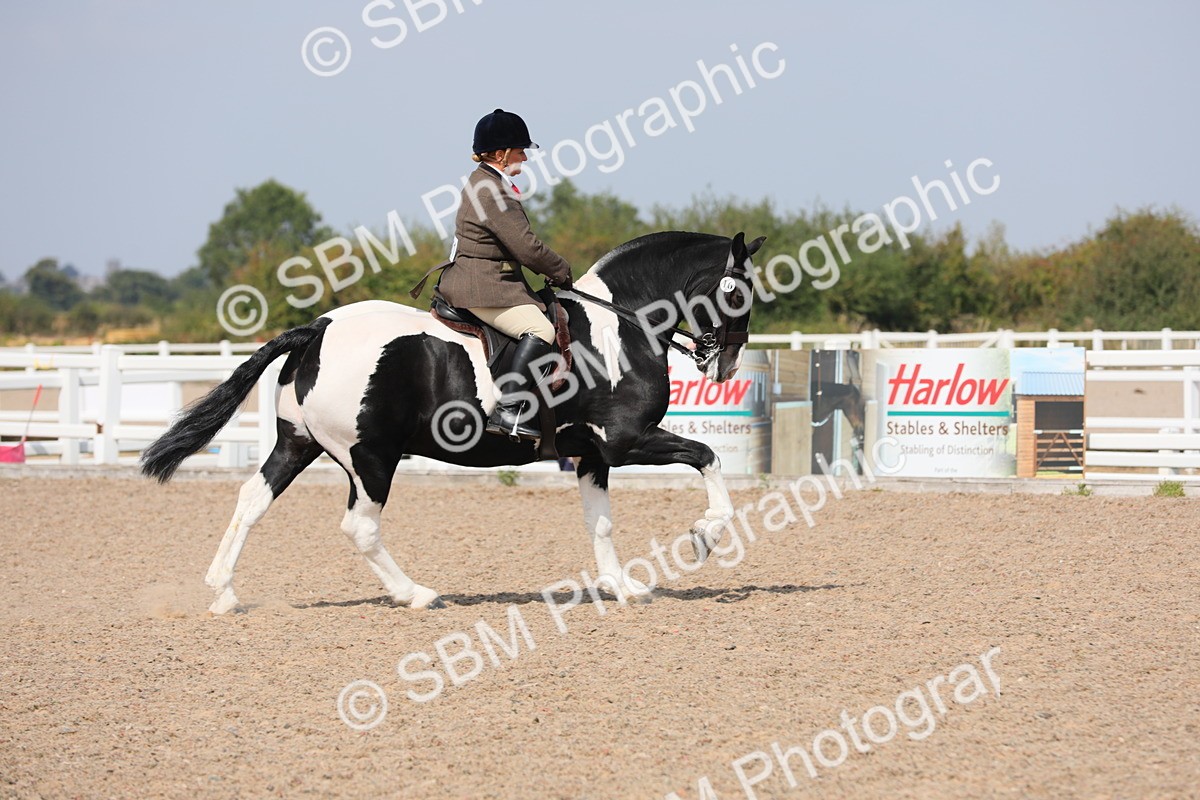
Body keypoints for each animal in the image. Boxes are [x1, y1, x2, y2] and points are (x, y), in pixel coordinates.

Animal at [141, 231, 766, 614]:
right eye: (738, 292)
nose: (727, 364)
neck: (620, 328)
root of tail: (319, 328)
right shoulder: (626, 442)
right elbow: (708, 459)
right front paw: (706, 535)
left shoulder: (592, 455)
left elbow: (602, 524)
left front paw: (622, 586)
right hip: (370, 458)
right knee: (360, 527)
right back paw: (416, 593)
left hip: (298, 445)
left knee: (252, 500)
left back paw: (223, 591)